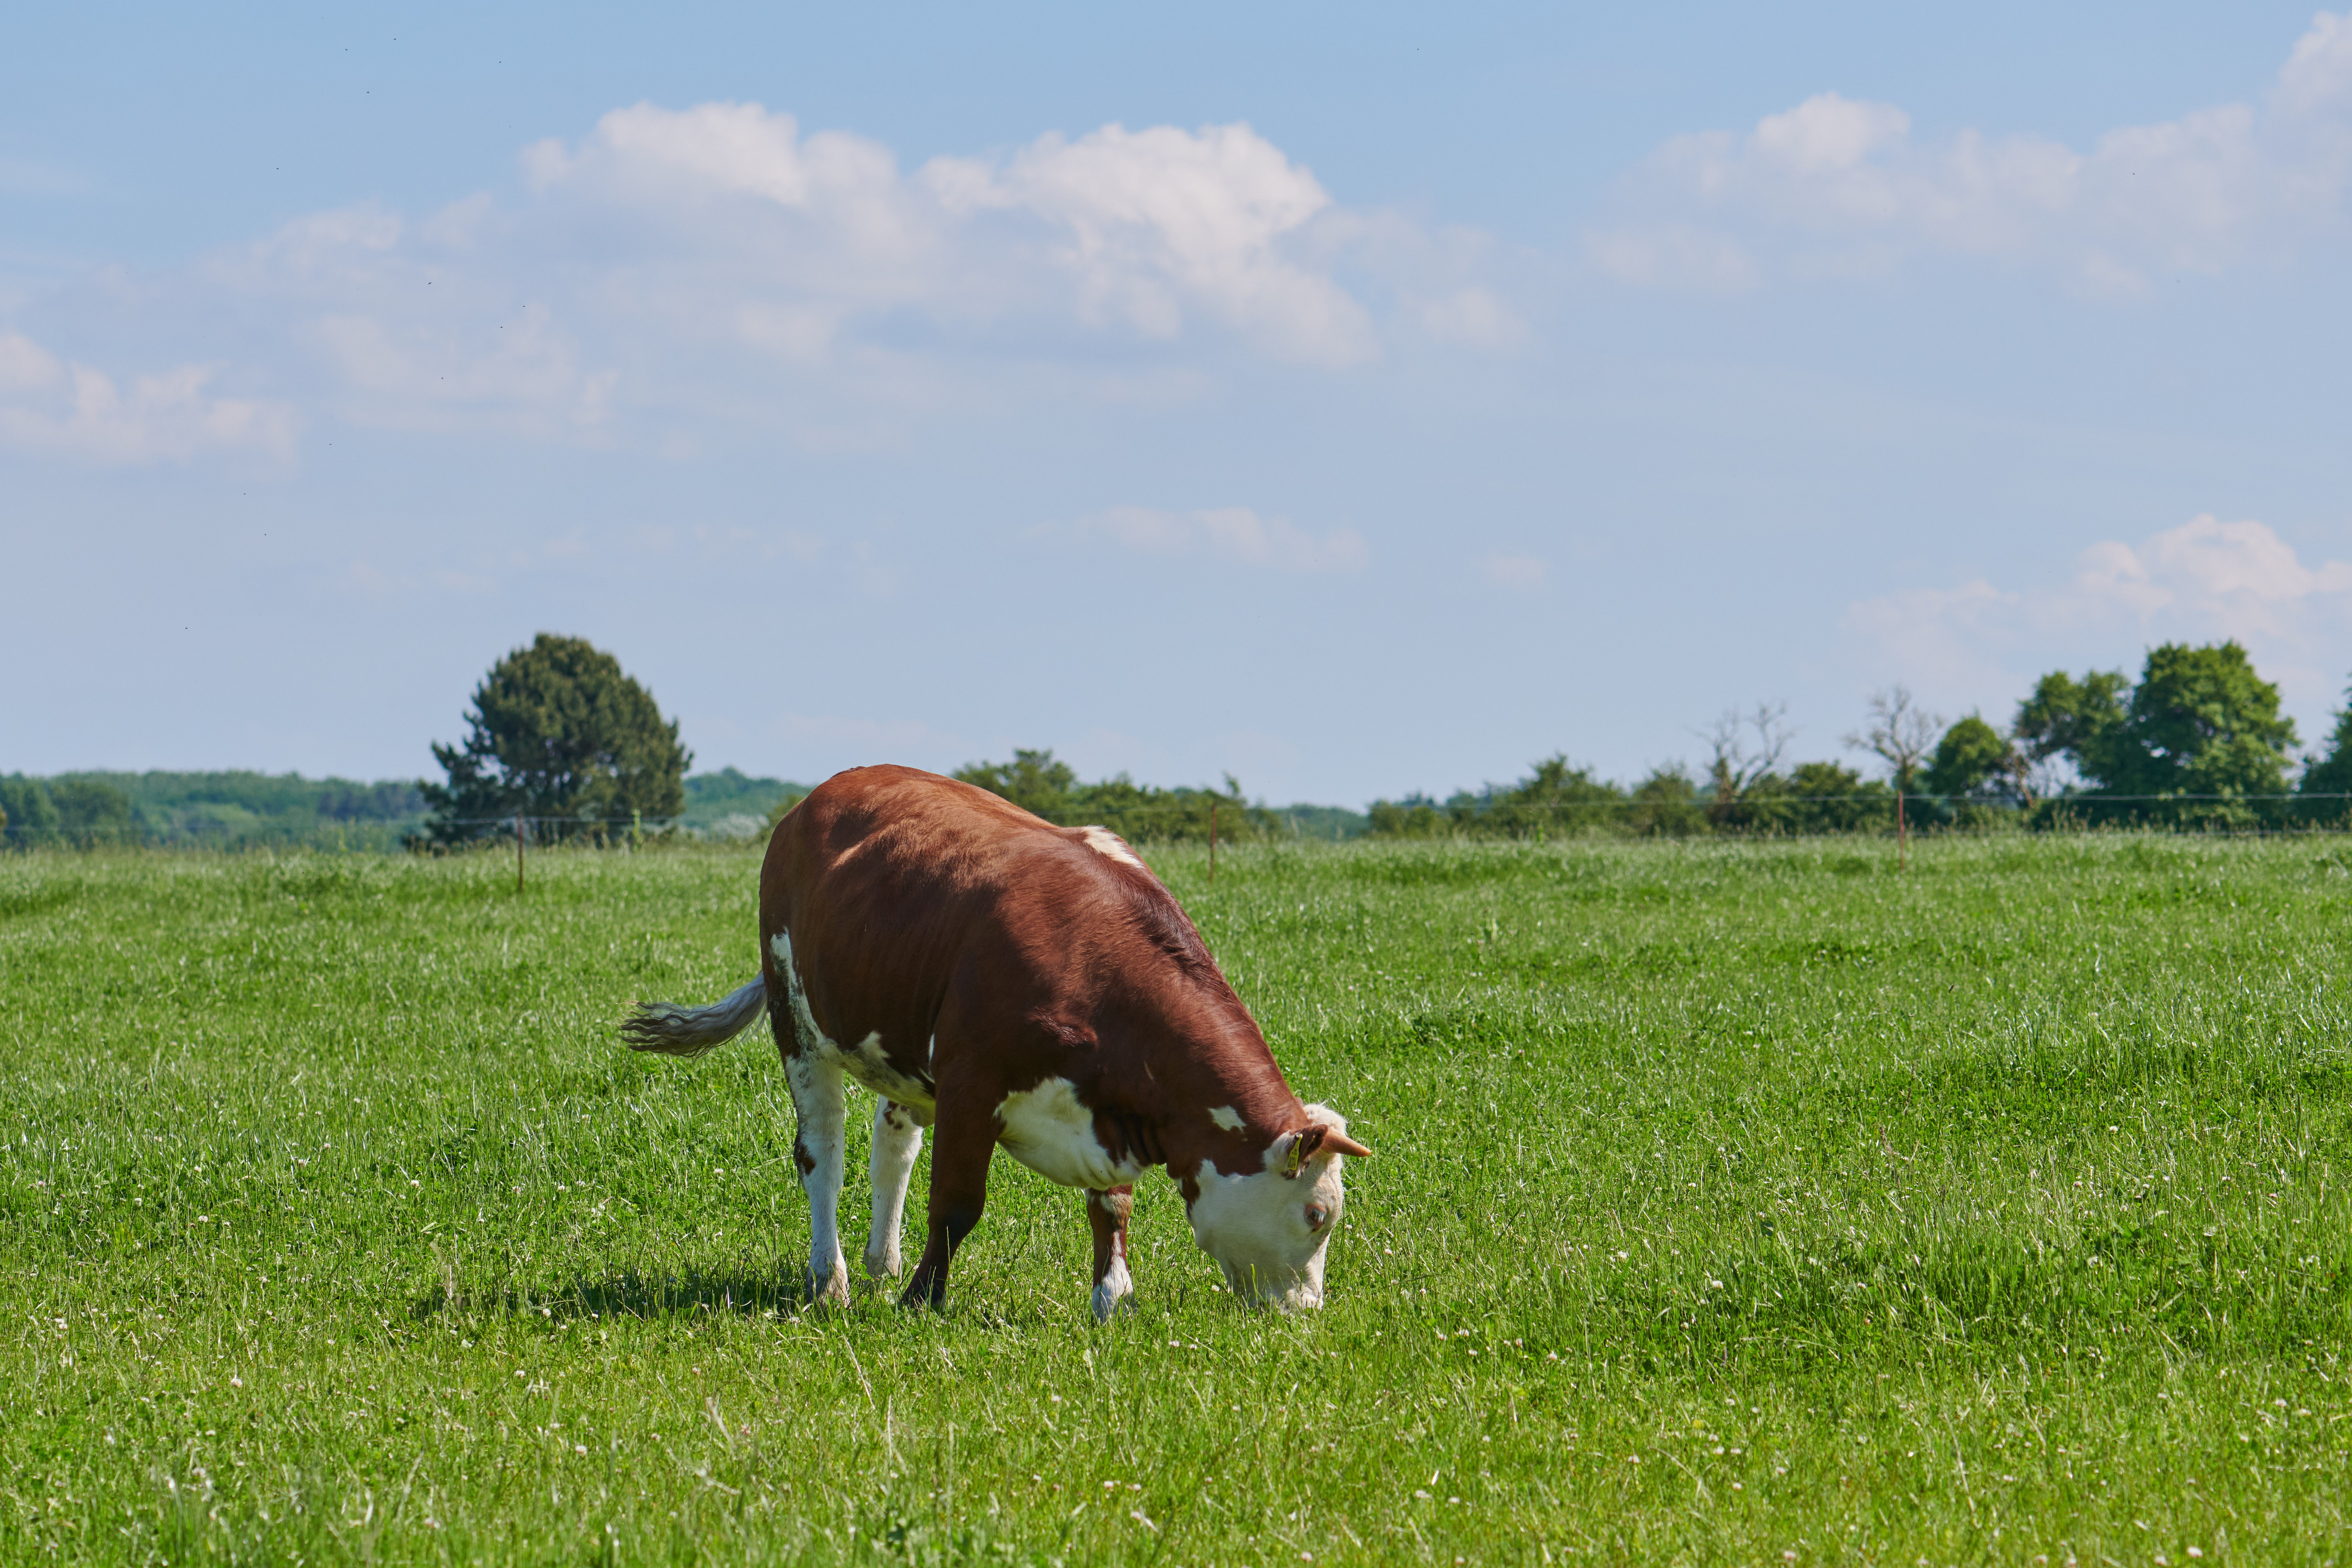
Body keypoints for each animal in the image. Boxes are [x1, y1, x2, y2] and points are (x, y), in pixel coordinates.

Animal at [616, 766, 1373, 1316]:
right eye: (1315, 1214)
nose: (1307, 1312)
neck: (1096, 961)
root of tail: (823, 793)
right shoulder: (970, 1084)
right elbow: (955, 1205)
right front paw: (922, 1300)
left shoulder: (1109, 1111)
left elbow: (1112, 1206)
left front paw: (1111, 1298)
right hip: (798, 1025)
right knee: (821, 1156)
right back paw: (830, 1278)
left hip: (901, 1052)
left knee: (890, 1151)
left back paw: (880, 1261)